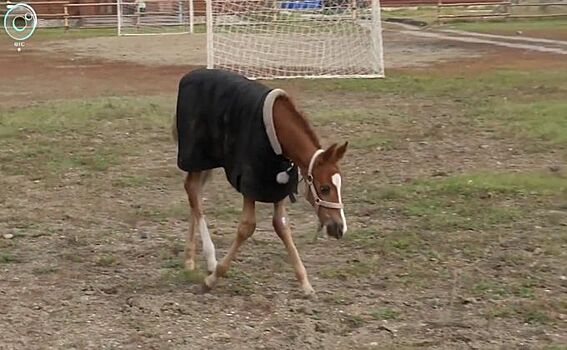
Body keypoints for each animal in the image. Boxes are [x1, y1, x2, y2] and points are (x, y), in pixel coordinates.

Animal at [171, 69, 348, 296]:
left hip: (207, 161)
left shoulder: (278, 185)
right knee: (192, 191)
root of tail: (188, 77)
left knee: (194, 192)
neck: (276, 131)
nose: (339, 228)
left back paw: (190, 260)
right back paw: (210, 259)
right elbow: (246, 227)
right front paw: (212, 278)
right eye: (325, 188)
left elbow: (281, 225)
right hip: (195, 156)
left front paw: (305, 283)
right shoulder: (250, 184)